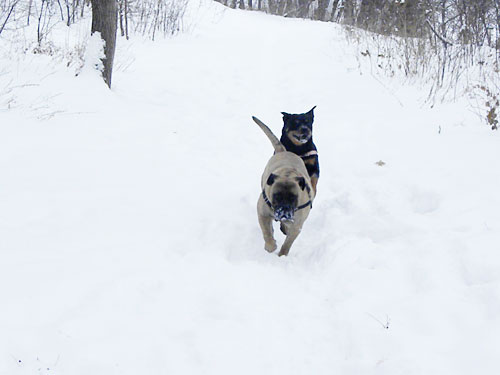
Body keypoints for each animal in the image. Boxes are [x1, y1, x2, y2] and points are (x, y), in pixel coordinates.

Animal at [252, 117, 314, 258]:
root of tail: (284, 151)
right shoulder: (262, 212)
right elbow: (266, 232)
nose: (284, 211)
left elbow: (287, 244)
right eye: (277, 196)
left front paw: (282, 256)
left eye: (293, 197)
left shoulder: (297, 225)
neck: (287, 175)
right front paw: (271, 246)